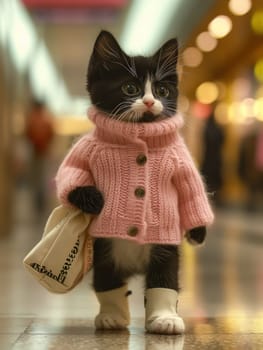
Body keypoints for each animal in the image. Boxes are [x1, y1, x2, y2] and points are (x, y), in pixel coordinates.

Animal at [60, 30, 212, 334]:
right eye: (130, 88)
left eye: (163, 91)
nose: (150, 102)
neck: (139, 133)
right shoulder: (86, 150)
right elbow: (70, 174)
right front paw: (93, 198)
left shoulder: (180, 159)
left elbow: (191, 188)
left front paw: (197, 231)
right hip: (106, 250)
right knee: (107, 279)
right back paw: (112, 316)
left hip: (162, 244)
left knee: (163, 275)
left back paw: (164, 318)